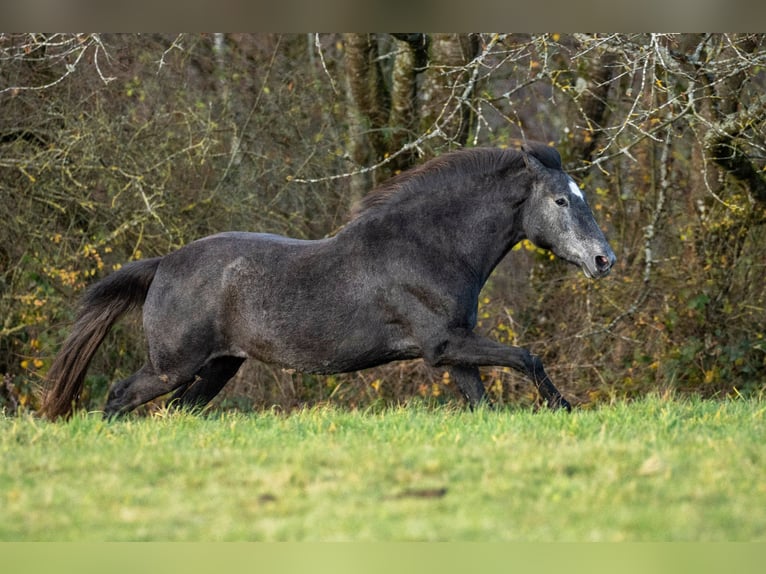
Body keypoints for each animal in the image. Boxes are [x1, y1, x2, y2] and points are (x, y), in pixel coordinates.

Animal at [40, 142, 616, 419]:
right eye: (561, 200)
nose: (603, 260)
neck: (431, 246)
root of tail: (163, 264)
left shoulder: (454, 350)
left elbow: (483, 403)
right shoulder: (445, 344)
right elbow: (528, 357)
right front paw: (565, 411)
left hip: (218, 365)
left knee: (181, 411)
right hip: (173, 365)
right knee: (119, 398)